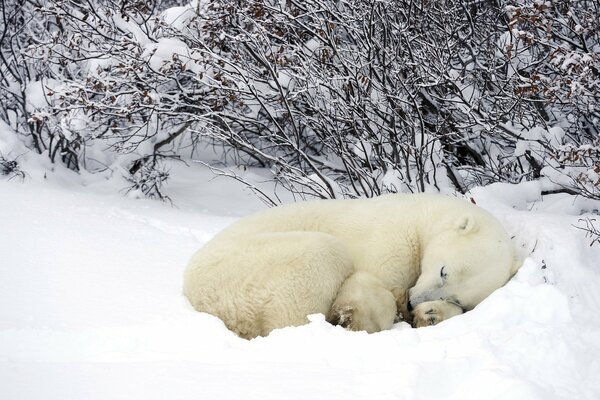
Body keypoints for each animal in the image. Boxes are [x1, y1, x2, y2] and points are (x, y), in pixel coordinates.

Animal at [182, 194, 516, 338]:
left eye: (457, 297)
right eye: (444, 271)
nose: (412, 301)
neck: (422, 217)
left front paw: (430, 314)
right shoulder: (390, 240)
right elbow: (369, 284)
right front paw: (363, 315)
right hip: (250, 268)